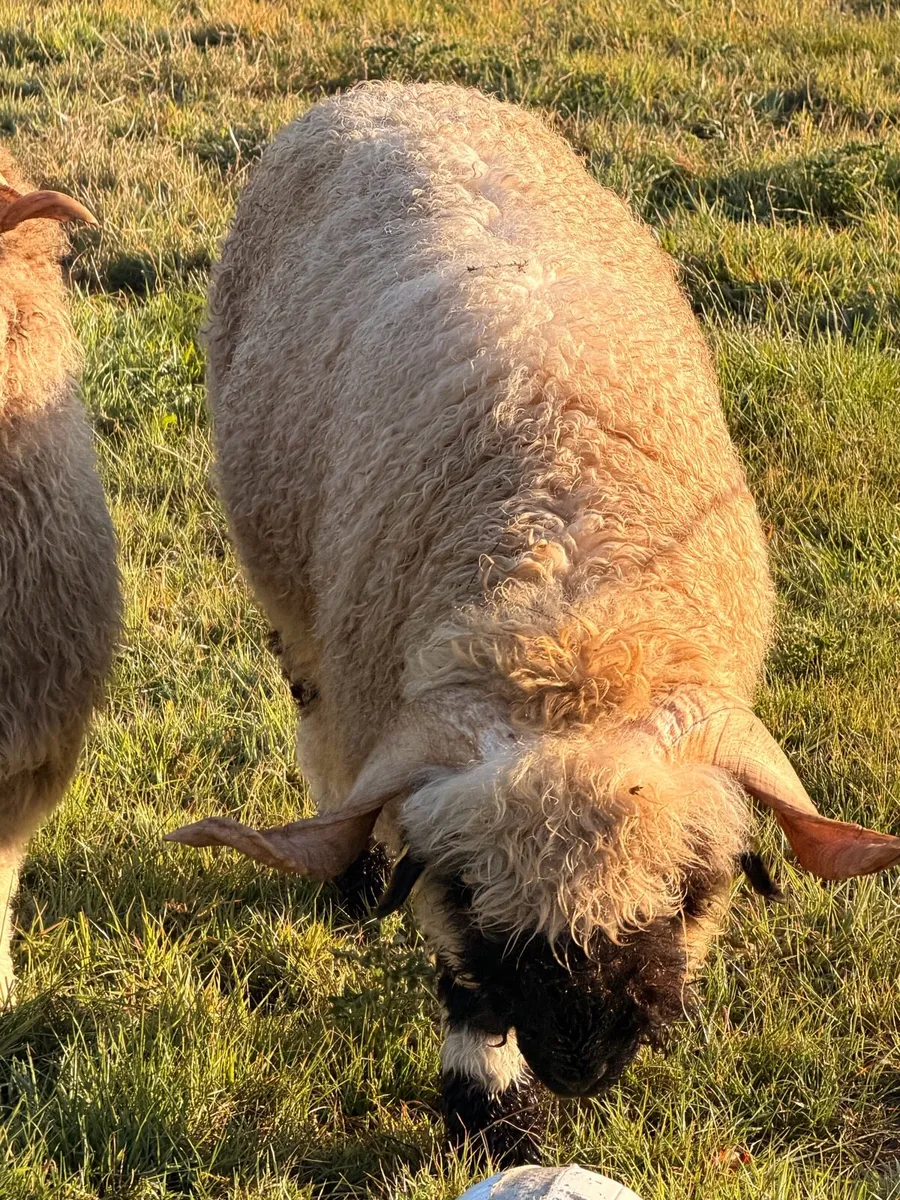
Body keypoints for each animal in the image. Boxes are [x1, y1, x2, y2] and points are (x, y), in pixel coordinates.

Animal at [167, 82, 900, 1163]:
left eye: (692, 890)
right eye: (469, 892)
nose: (579, 1064)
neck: (573, 619)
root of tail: (391, 89)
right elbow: (459, 982)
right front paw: (496, 1121)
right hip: (293, 604)